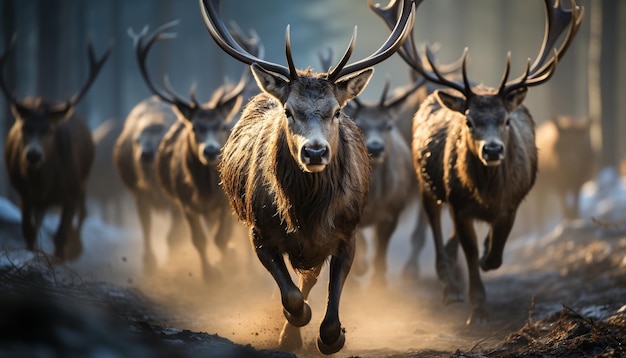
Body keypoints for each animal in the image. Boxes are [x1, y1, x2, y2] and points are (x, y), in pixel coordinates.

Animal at [1, 35, 111, 260]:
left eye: (49, 129)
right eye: (24, 127)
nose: (33, 155)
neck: (44, 184)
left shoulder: (71, 193)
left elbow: (61, 236)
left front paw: (60, 259)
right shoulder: (24, 193)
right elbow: (28, 233)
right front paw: (32, 257)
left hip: (82, 184)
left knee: (81, 215)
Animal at [200, 0, 414, 352]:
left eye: (337, 111)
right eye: (288, 110)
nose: (314, 152)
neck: (307, 213)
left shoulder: (347, 232)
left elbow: (327, 301)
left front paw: (333, 337)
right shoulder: (260, 231)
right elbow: (291, 296)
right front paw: (294, 329)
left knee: (310, 276)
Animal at [370, 0, 580, 324]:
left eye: (506, 120)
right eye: (469, 121)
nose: (492, 150)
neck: (487, 193)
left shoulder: (513, 201)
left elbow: (496, 254)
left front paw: (486, 252)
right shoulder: (459, 203)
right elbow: (469, 252)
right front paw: (477, 305)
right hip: (426, 183)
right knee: (433, 224)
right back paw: (449, 284)